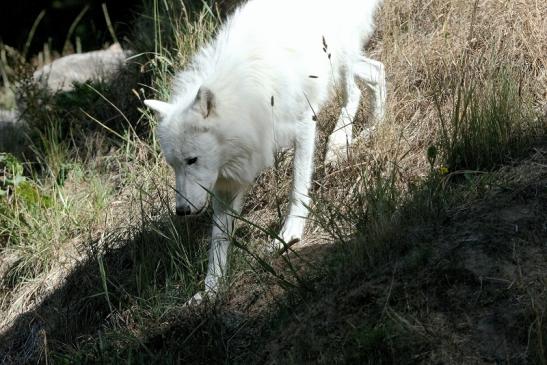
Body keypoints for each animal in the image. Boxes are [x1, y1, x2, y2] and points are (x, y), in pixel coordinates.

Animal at [144, 0, 386, 302]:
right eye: (174, 165)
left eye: (192, 160)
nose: (182, 211)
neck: (246, 98)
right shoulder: (228, 181)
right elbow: (218, 240)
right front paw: (210, 291)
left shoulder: (303, 125)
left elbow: (298, 187)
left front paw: (290, 234)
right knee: (377, 70)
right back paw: (373, 127)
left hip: (337, 61)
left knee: (354, 93)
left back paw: (339, 145)